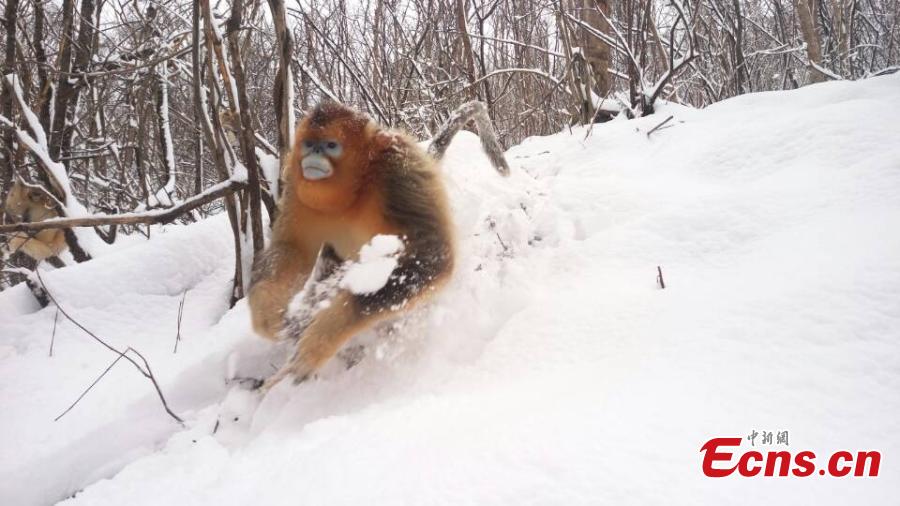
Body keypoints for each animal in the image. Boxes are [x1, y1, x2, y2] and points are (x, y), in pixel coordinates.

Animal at [248, 101, 509, 390]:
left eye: (330, 145)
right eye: (309, 144)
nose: (313, 154)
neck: (356, 190)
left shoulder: (398, 174)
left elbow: (433, 257)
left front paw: (323, 336)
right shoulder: (297, 187)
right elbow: (292, 248)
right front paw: (267, 312)